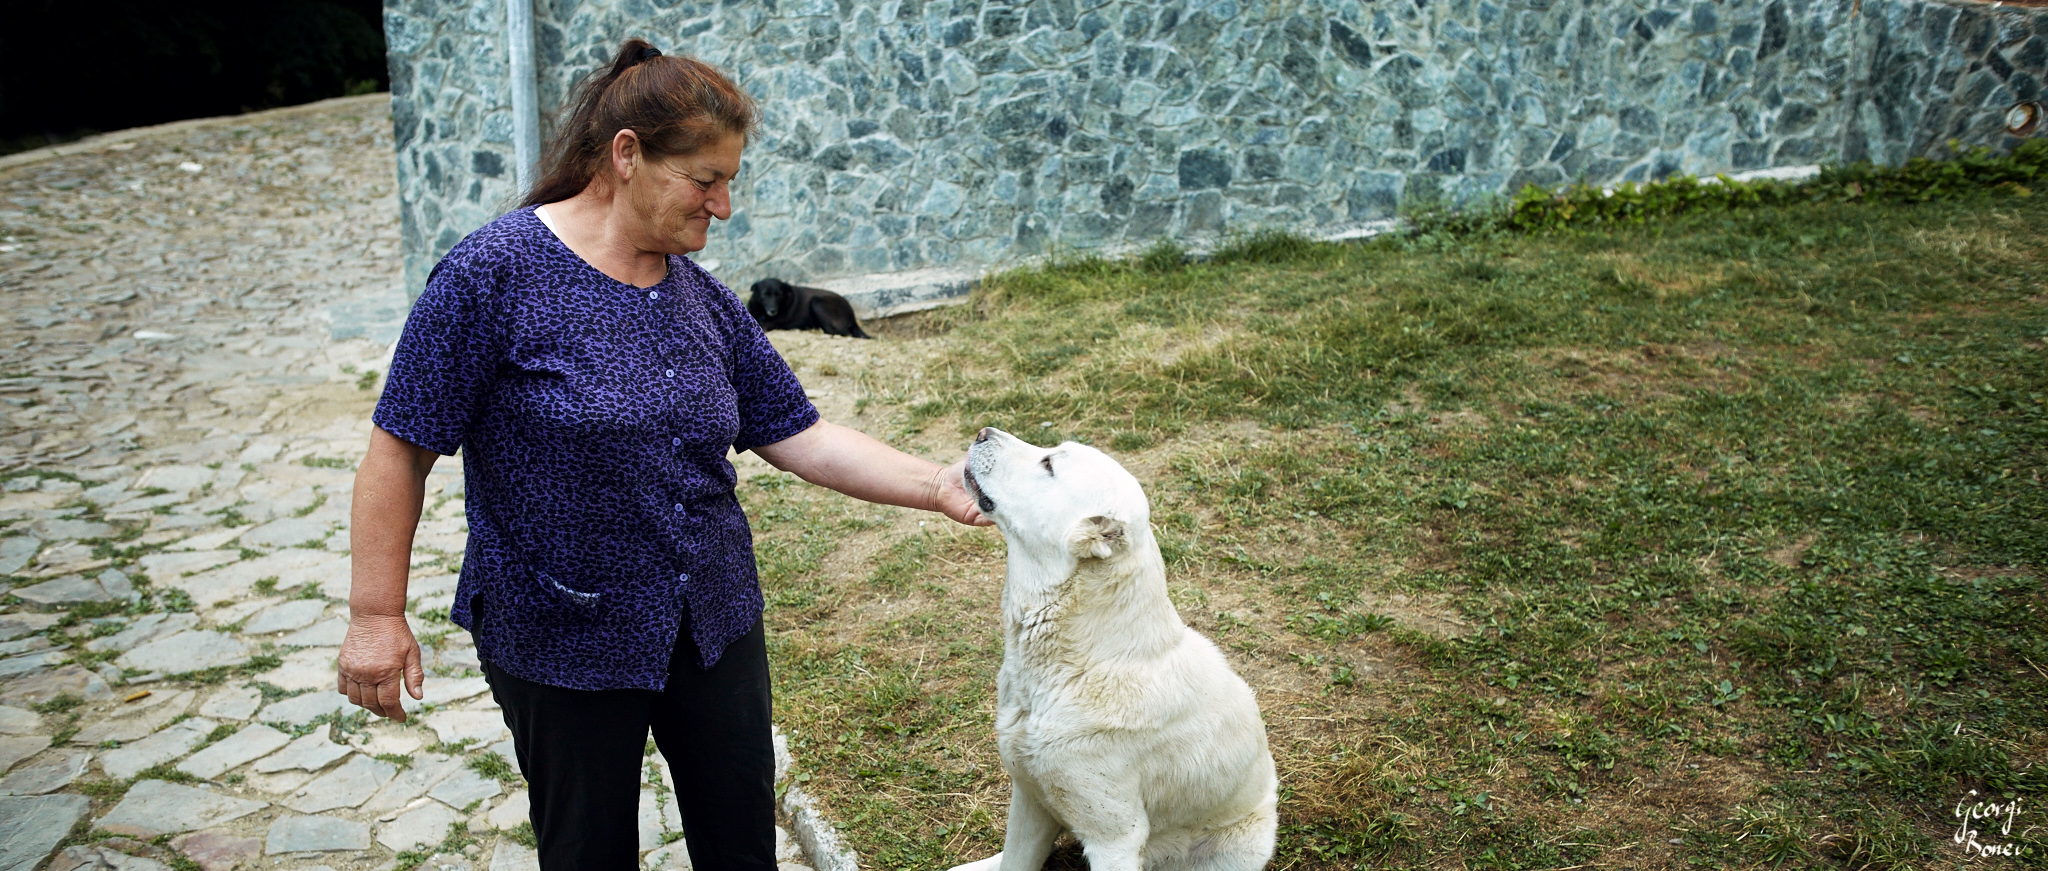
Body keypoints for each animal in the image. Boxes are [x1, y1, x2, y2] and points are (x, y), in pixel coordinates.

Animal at [950, 426, 1269, 868]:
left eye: (1048, 464)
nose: (982, 432)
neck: (1079, 665)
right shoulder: (1029, 795)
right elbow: (1017, 860)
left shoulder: (1114, 838)